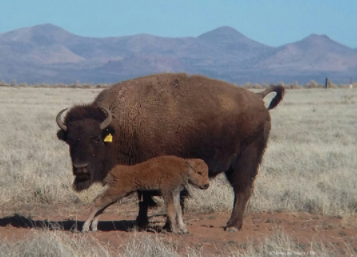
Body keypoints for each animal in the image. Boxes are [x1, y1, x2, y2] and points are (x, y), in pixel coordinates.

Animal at [81, 155, 209, 233]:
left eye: (206, 172)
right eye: (199, 172)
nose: (206, 185)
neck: (182, 167)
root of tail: (115, 171)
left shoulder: (176, 192)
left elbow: (179, 210)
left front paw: (183, 229)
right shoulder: (167, 191)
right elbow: (172, 210)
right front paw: (175, 230)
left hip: (117, 194)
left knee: (102, 206)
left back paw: (94, 227)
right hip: (117, 192)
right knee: (98, 203)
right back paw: (85, 228)